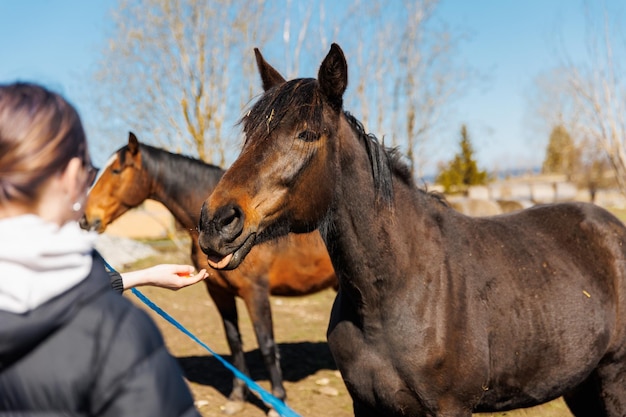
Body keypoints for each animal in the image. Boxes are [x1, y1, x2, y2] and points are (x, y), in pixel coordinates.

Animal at [81, 132, 336, 412]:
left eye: (116, 171)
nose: (85, 218)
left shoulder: (255, 292)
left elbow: (267, 345)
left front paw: (276, 402)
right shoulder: (218, 292)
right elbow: (234, 342)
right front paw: (237, 397)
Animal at [197, 43, 624, 416]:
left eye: (306, 134)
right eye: (249, 132)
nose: (215, 222)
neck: (400, 290)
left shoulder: (450, 408)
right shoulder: (365, 404)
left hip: (613, 377)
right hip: (580, 384)